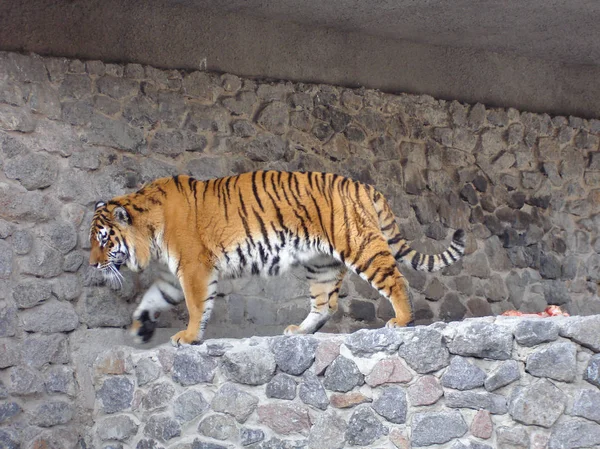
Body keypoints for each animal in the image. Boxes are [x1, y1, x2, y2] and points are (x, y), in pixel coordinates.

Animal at [89, 170, 466, 344]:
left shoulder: (194, 267)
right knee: (325, 304)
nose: (93, 264)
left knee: (396, 280)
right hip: (322, 264)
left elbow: (197, 306)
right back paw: (299, 331)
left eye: (104, 240)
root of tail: (364, 186)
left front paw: (190, 336)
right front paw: (139, 327)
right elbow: (153, 297)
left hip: (359, 245)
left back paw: (401, 321)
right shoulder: (172, 274)